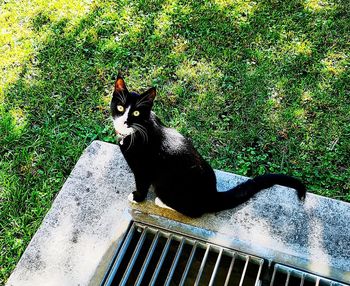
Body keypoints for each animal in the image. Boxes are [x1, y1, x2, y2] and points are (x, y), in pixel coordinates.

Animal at [110, 75, 304, 218]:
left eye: (136, 112)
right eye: (120, 108)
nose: (124, 121)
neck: (135, 132)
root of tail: (212, 195)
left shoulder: (144, 170)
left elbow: (142, 185)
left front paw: (137, 197)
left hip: (170, 186)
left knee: (195, 212)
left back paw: (162, 202)